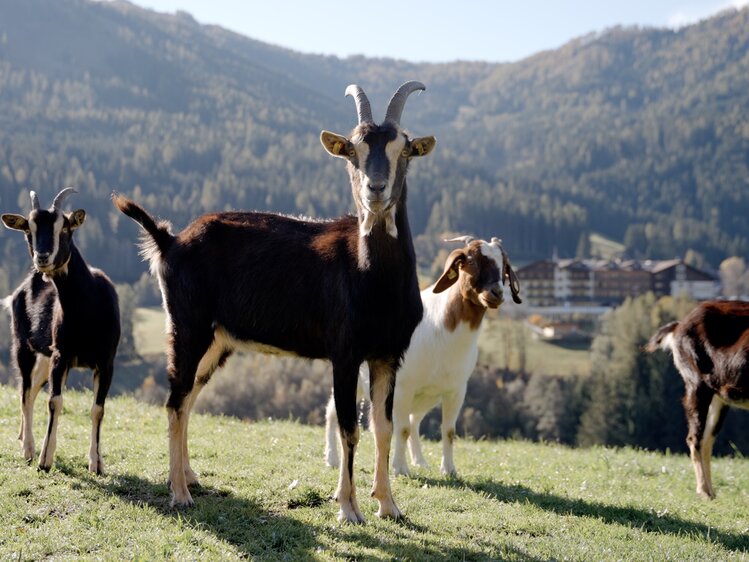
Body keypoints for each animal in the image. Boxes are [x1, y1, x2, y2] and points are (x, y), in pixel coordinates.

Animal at [1, 189, 120, 472]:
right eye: (28, 229)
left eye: (64, 227)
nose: (42, 257)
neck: (88, 309)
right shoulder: (61, 356)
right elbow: (54, 401)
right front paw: (45, 460)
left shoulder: (106, 361)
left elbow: (98, 409)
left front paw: (96, 463)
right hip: (23, 347)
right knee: (24, 391)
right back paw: (28, 447)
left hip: (45, 358)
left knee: (32, 389)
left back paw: (22, 436)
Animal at [114, 80, 436, 520]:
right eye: (352, 149)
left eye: (403, 148)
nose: (375, 189)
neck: (373, 278)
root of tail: (171, 240)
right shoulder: (345, 352)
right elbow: (349, 427)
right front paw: (347, 507)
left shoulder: (389, 355)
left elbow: (381, 427)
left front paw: (388, 505)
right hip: (187, 325)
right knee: (175, 399)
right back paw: (180, 492)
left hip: (218, 340)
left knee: (190, 395)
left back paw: (190, 476)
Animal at [324, 234, 524, 474]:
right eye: (471, 261)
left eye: (504, 267)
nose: (497, 294)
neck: (444, 331)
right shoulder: (402, 388)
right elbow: (401, 429)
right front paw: (400, 468)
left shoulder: (455, 391)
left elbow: (448, 431)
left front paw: (449, 469)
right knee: (332, 414)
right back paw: (332, 459)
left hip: (425, 398)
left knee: (415, 422)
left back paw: (420, 461)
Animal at [644, 300, 748, 496]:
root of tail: (679, 326)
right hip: (697, 383)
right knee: (695, 438)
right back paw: (704, 491)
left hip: (719, 397)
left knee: (707, 439)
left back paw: (712, 492)